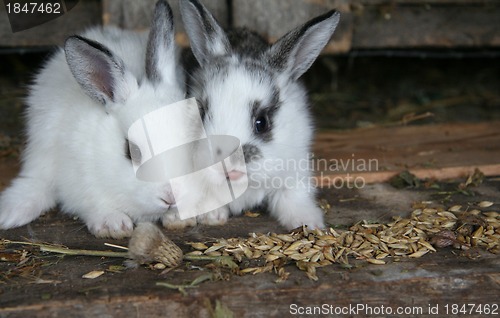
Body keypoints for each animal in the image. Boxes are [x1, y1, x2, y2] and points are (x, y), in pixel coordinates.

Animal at [0, 0, 191, 238]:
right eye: (131, 152)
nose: (171, 196)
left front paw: (178, 217)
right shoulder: (80, 184)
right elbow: (94, 205)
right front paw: (113, 224)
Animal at [174, 0, 342, 230]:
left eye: (262, 123)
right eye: (202, 111)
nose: (228, 167)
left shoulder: (295, 170)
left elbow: (292, 198)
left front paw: (308, 222)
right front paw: (212, 216)